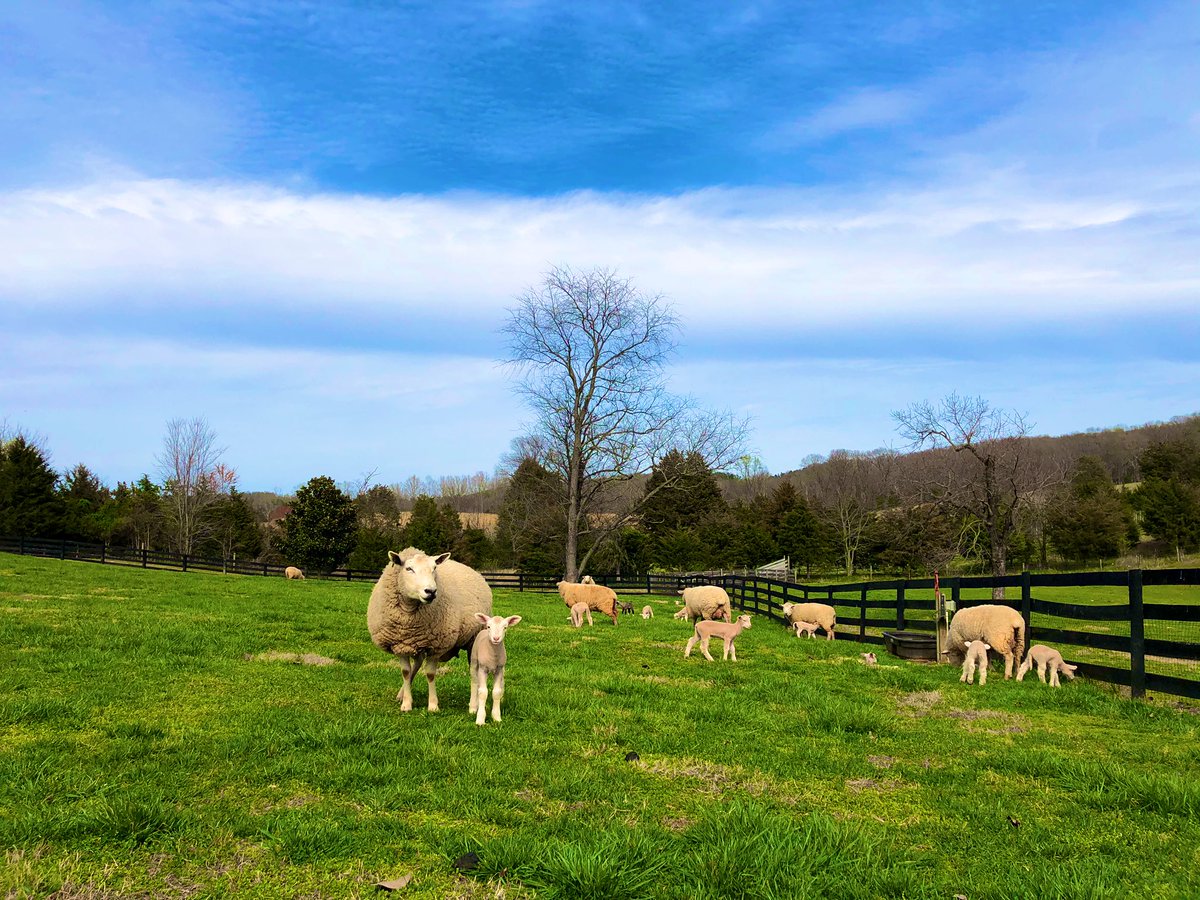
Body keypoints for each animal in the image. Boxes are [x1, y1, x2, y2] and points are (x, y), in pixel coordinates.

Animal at [367, 547, 494, 715]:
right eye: (409, 568)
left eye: (434, 568)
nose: (431, 591)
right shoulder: (401, 644)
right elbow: (406, 672)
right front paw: (406, 703)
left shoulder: (436, 645)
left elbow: (430, 674)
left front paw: (433, 705)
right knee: (417, 662)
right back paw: (401, 694)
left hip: (473, 638)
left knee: (474, 671)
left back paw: (474, 706)